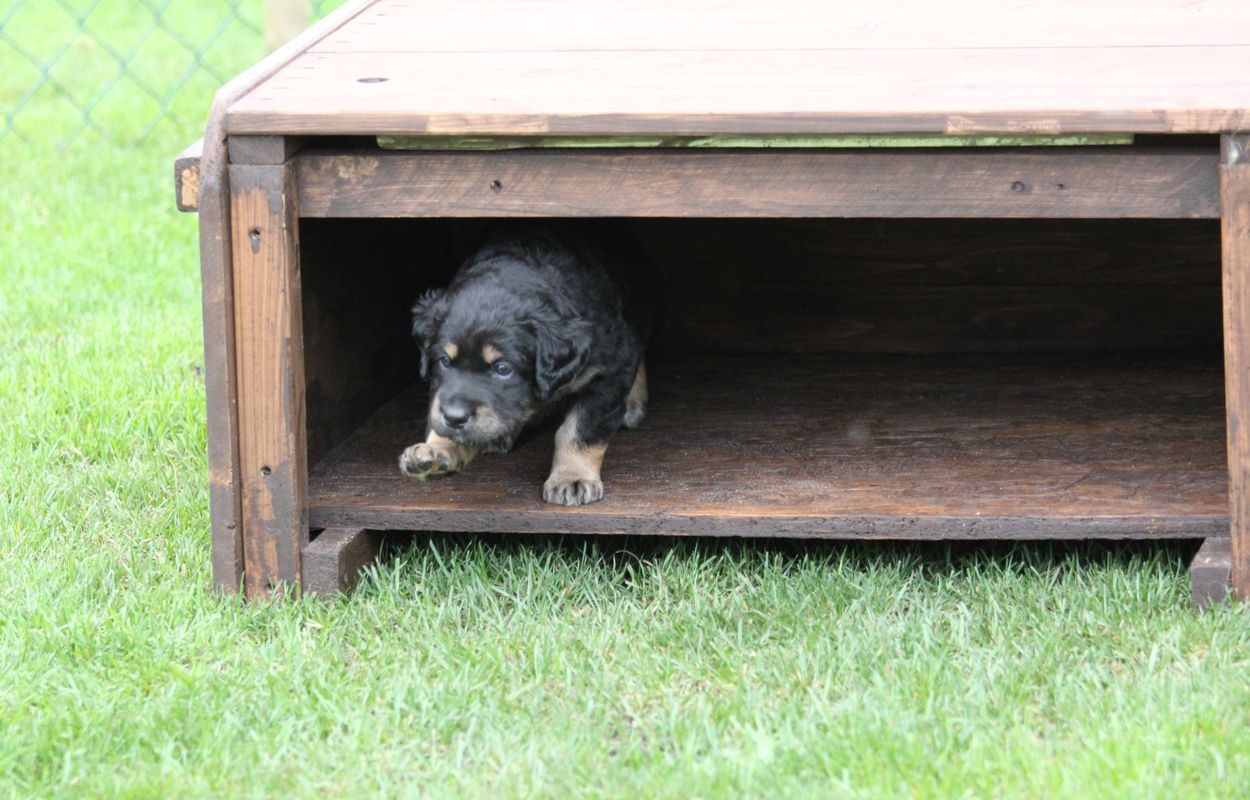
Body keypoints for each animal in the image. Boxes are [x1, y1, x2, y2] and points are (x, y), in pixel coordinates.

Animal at [399, 224, 659, 506]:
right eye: (445, 361)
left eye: (503, 369)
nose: (455, 417)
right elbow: (440, 405)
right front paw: (436, 450)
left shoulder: (608, 372)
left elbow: (580, 428)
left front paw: (572, 478)